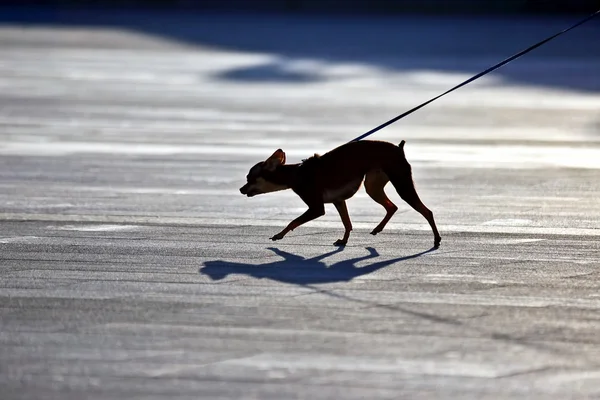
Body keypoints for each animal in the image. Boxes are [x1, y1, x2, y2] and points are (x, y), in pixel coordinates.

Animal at [239, 141, 440, 247]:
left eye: (250, 178)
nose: (241, 189)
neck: (297, 174)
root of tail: (399, 148)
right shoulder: (339, 201)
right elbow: (347, 223)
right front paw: (344, 241)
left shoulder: (316, 208)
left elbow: (293, 222)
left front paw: (279, 235)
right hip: (372, 185)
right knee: (392, 207)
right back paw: (377, 229)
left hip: (402, 185)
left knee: (426, 211)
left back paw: (437, 239)